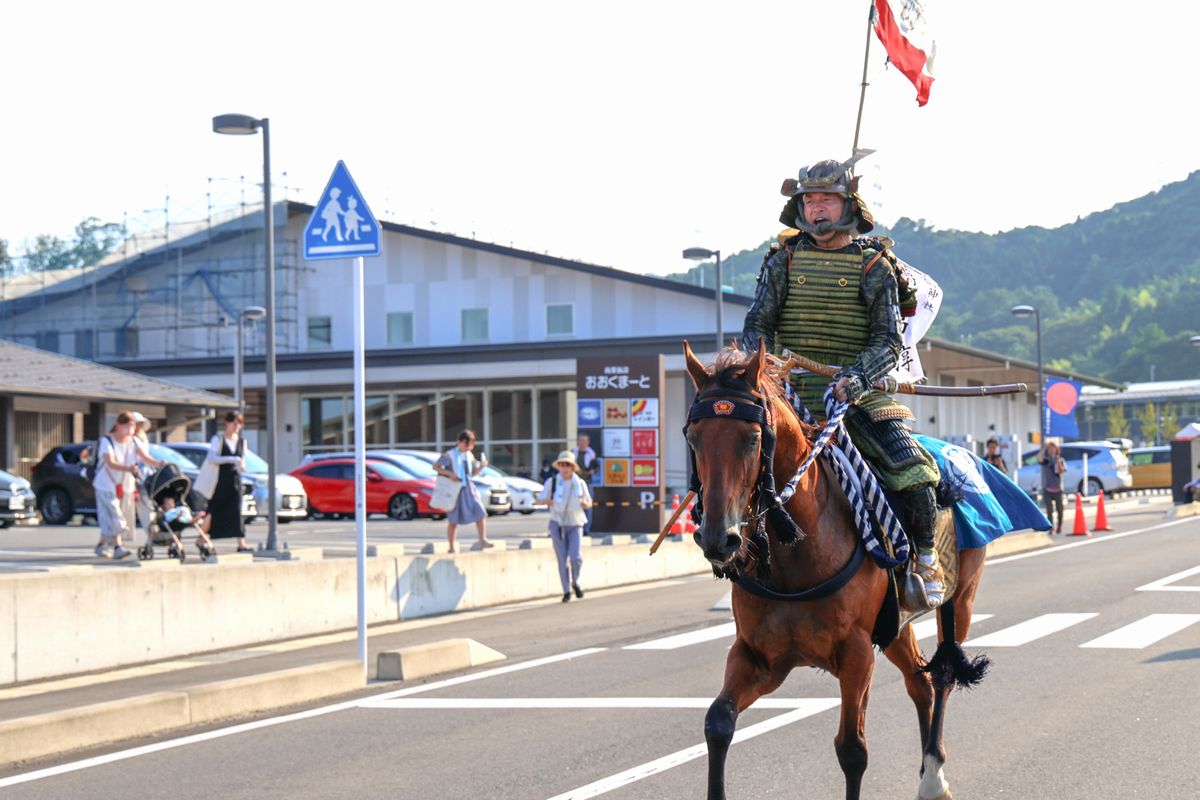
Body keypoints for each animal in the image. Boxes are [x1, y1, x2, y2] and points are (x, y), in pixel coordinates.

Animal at [691, 343, 988, 800]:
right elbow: (717, 723)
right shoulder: (758, 655)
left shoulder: (856, 651)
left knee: (943, 675)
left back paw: (934, 775)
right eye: (693, 437)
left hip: (963, 595)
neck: (797, 551)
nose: (717, 539)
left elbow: (851, 749)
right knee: (919, 682)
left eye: (752, 439)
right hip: (895, 624)